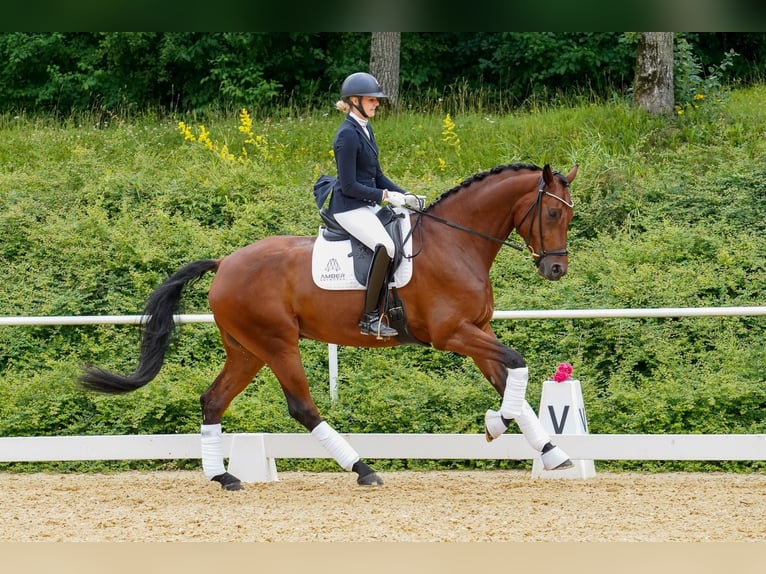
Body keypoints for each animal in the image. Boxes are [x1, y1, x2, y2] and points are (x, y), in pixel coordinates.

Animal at [81, 162, 580, 490]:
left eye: (569, 214)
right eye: (553, 214)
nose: (556, 270)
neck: (456, 242)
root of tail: (225, 263)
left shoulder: (477, 331)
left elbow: (511, 380)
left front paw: (549, 451)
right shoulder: (452, 334)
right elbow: (517, 364)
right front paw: (497, 425)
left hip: (247, 351)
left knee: (213, 400)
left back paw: (223, 476)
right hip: (278, 344)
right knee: (302, 407)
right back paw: (362, 469)